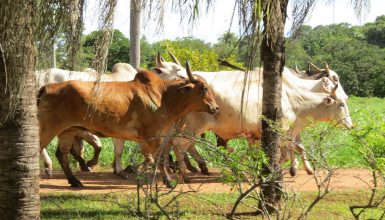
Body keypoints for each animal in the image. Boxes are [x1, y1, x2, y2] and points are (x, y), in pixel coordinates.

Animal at [39, 62, 219, 187]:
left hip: (68, 131)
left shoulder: (149, 138)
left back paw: (75, 181)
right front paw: (168, 181)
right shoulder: (153, 136)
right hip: (48, 128)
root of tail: (46, 88)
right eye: (204, 88)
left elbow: (151, 158)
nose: (216, 108)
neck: (164, 96)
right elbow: (159, 159)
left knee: (62, 155)